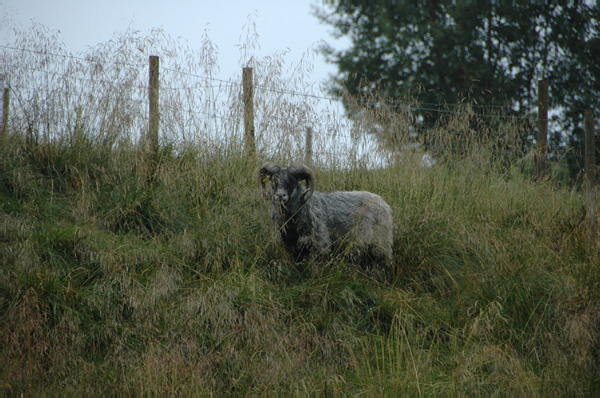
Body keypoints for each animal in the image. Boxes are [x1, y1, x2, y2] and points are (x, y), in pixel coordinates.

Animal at [258, 162, 394, 270]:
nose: (280, 196)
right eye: (273, 181)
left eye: (292, 181)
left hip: (381, 245)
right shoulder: (294, 249)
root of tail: (383, 203)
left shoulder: (320, 247)